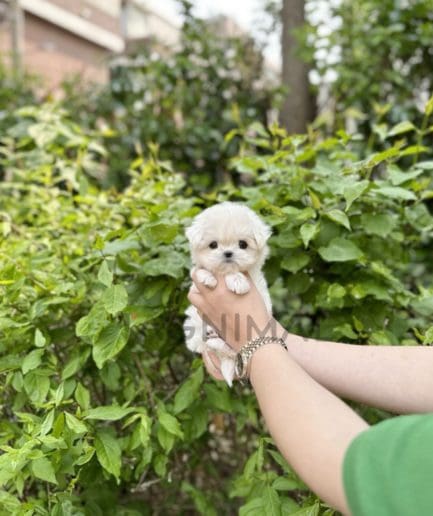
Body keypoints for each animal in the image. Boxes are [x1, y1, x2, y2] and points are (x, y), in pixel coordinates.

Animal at [184, 204, 272, 384]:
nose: (228, 253)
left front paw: (237, 281)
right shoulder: (195, 285)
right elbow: (200, 271)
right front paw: (207, 277)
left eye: (242, 244)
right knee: (200, 342)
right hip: (194, 322)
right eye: (213, 245)